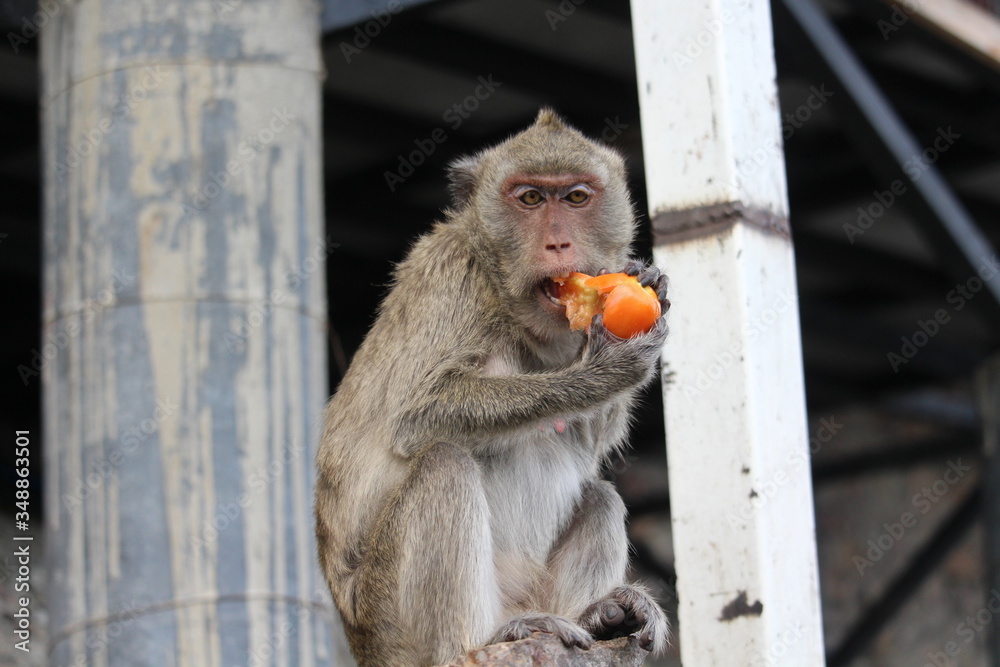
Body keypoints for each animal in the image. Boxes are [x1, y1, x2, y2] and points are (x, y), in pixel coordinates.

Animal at [315, 108, 671, 667]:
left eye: (576, 197)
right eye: (529, 199)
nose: (558, 244)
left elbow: (591, 445)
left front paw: (647, 277)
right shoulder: (453, 277)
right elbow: (417, 417)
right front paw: (604, 371)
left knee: (600, 496)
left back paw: (599, 616)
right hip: (389, 621)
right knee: (443, 464)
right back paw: (478, 641)